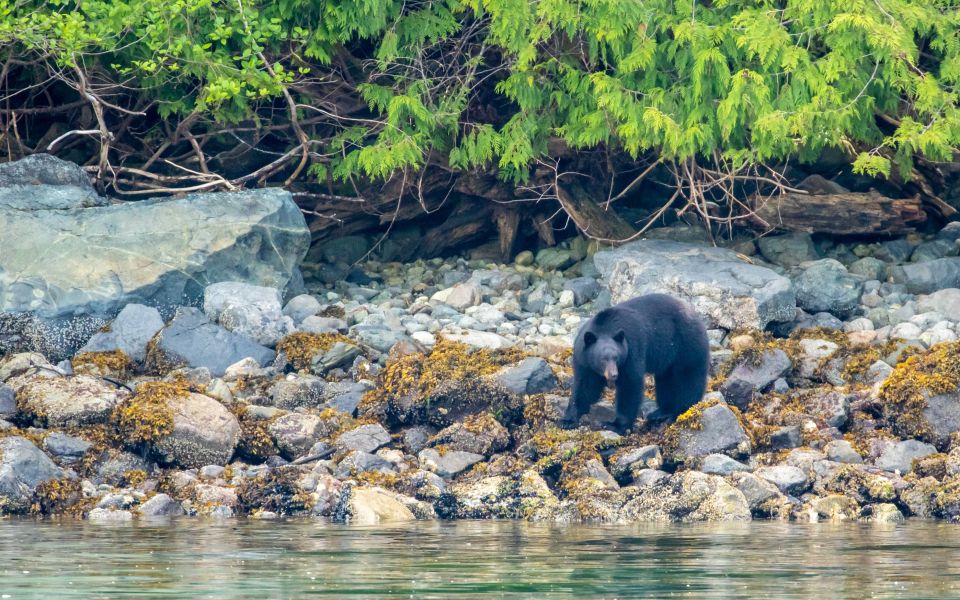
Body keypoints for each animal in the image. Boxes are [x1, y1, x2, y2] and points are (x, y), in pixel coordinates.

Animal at [568, 292, 708, 428]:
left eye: (616, 358)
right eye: (603, 359)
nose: (614, 375)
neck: (605, 328)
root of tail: (696, 315)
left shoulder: (631, 350)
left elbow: (630, 383)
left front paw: (616, 424)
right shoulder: (583, 360)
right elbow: (584, 386)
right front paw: (569, 419)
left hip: (686, 344)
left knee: (689, 378)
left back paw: (680, 412)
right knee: (666, 382)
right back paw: (660, 413)